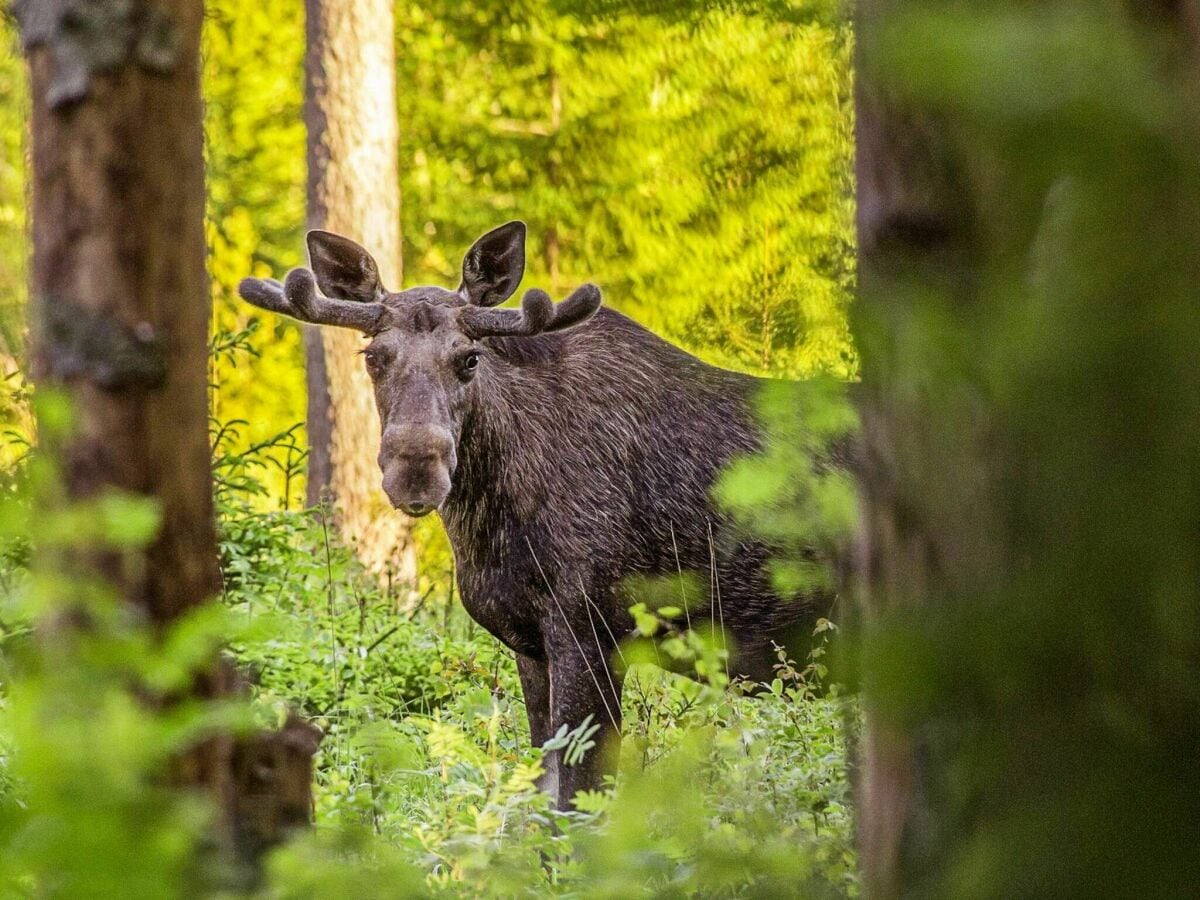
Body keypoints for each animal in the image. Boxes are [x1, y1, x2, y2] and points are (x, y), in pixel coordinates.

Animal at [240, 220, 830, 811]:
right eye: (372, 356)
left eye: (469, 358)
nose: (415, 470)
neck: (491, 526)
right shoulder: (531, 642)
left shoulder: (593, 628)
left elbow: (577, 799)